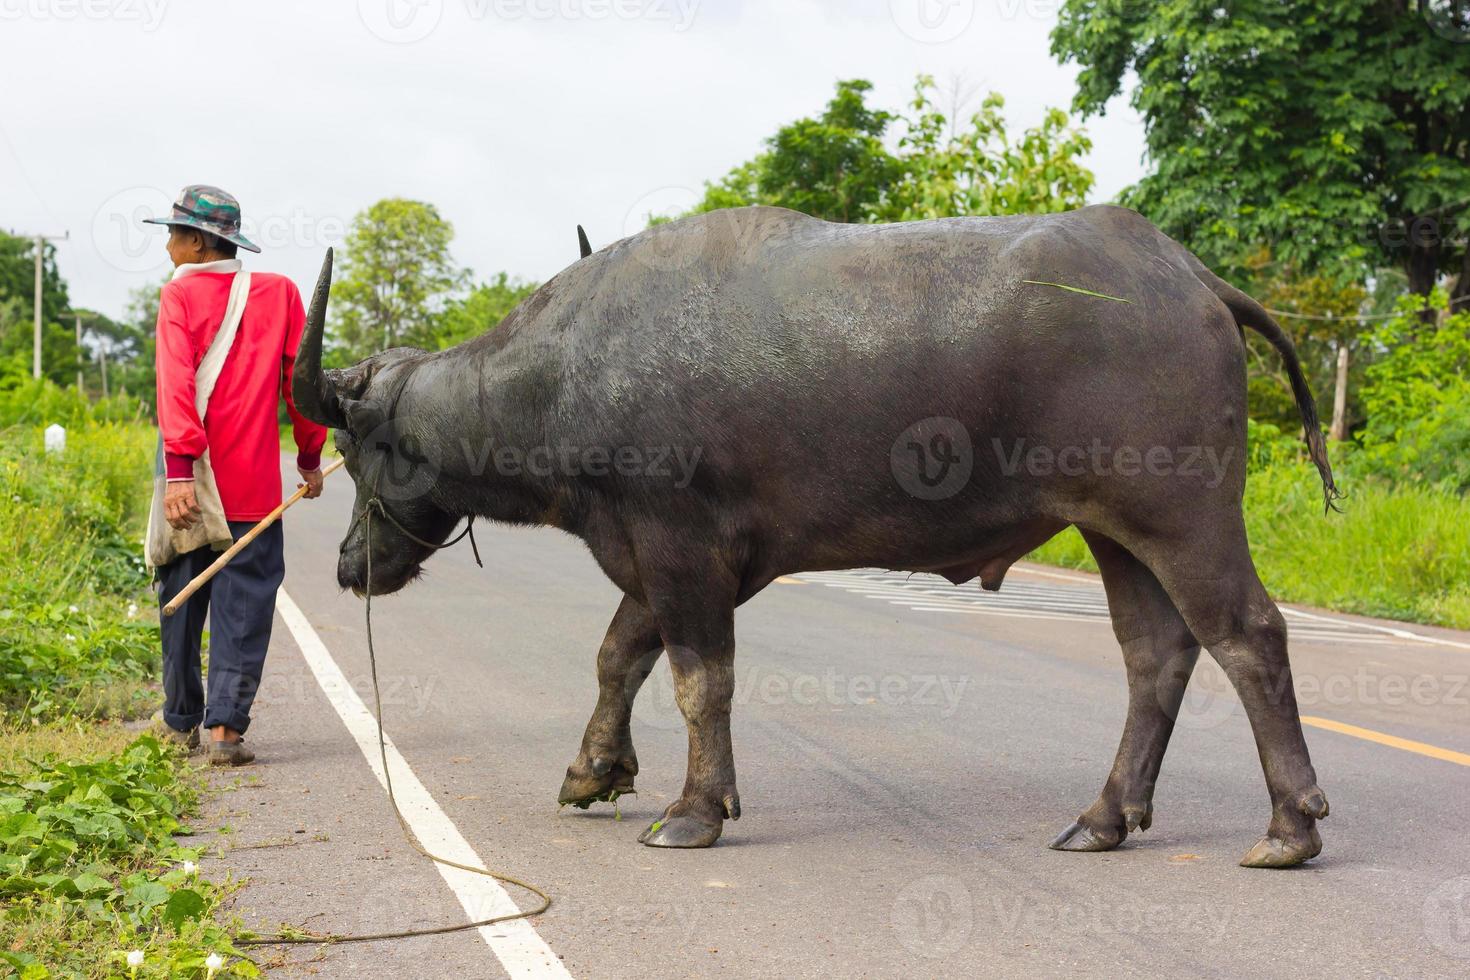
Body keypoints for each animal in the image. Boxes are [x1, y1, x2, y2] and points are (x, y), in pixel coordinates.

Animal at [292, 205, 1340, 863]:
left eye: (355, 445)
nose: (346, 564)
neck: (564, 374)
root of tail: (1190, 276)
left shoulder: (684, 552)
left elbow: (696, 679)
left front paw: (693, 810)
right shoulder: (673, 559)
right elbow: (618, 654)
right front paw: (595, 770)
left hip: (1185, 515)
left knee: (1248, 637)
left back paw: (1290, 828)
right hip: (1113, 529)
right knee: (1156, 653)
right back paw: (1105, 818)